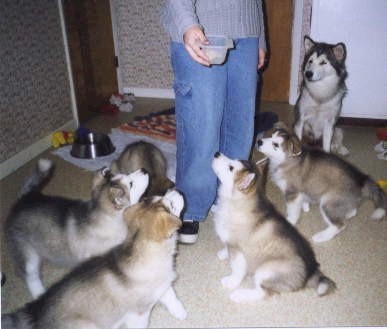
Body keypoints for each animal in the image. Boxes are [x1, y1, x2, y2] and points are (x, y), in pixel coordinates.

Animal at [1, 188, 186, 326]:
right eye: (170, 205)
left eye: (159, 198)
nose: (176, 189)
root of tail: (36, 315)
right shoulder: (138, 312)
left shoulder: (161, 285)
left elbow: (172, 298)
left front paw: (181, 312)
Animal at [4, 158, 150, 298]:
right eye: (131, 184)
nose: (144, 169)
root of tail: (23, 200)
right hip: (27, 253)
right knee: (29, 275)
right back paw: (38, 292)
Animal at [211, 151, 334, 302]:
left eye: (231, 168)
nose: (216, 153)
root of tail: (311, 273)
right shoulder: (231, 243)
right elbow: (226, 246)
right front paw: (223, 253)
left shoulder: (238, 250)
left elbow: (237, 269)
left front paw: (231, 282)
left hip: (266, 270)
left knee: (265, 293)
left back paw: (239, 295)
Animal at [256, 122, 386, 241]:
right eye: (269, 135)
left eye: (275, 145)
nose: (259, 141)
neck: (286, 160)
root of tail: (361, 180)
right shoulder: (301, 191)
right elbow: (303, 200)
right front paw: (306, 206)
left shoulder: (293, 193)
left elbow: (293, 211)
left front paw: (290, 221)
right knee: (352, 211)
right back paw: (348, 214)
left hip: (328, 203)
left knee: (339, 225)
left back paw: (321, 236)